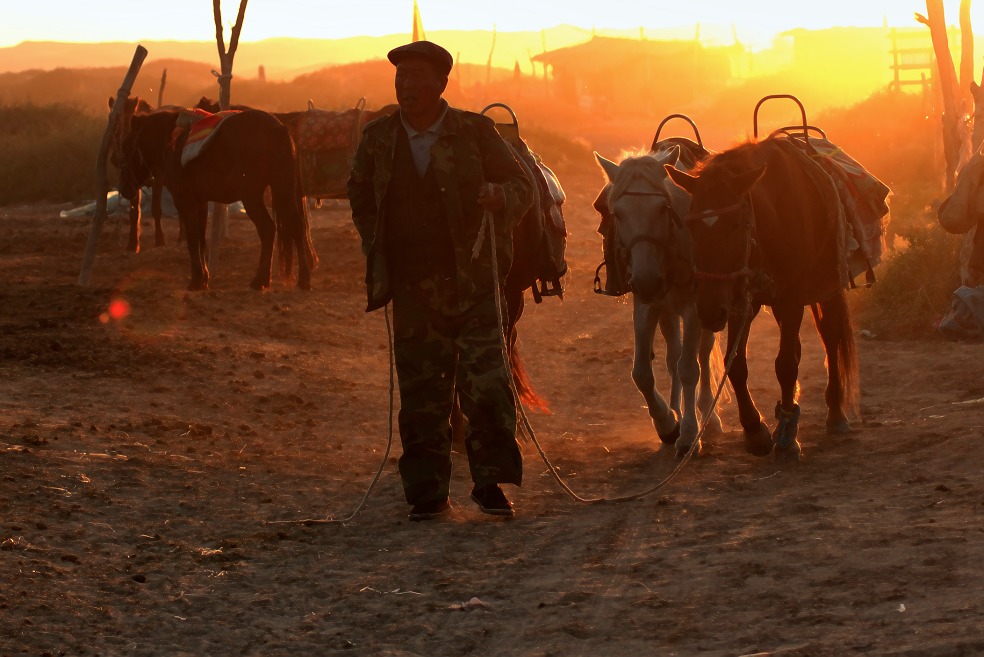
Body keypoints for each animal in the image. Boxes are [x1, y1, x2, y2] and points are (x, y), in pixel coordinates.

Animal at [119, 108, 318, 290]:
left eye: (128, 147)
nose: (124, 188)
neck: (171, 144)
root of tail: (277, 127)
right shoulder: (201, 202)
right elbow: (201, 239)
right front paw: (203, 278)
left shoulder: (185, 201)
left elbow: (192, 240)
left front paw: (196, 280)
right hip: (283, 189)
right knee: (297, 226)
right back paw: (303, 279)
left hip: (252, 197)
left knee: (268, 228)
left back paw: (260, 280)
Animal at [592, 142, 724, 456]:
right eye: (617, 214)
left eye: (663, 209)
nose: (648, 280)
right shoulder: (648, 305)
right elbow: (642, 372)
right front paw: (667, 423)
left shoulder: (693, 308)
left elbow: (690, 368)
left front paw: (688, 433)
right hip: (667, 311)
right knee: (672, 356)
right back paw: (678, 409)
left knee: (701, 355)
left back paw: (708, 418)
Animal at [664, 138, 856, 458]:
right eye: (690, 225)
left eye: (735, 224)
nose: (709, 310)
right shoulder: (740, 301)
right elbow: (736, 365)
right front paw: (755, 430)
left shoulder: (791, 300)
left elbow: (786, 364)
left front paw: (787, 437)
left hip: (825, 288)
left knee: (830, 337)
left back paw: (835, 413)